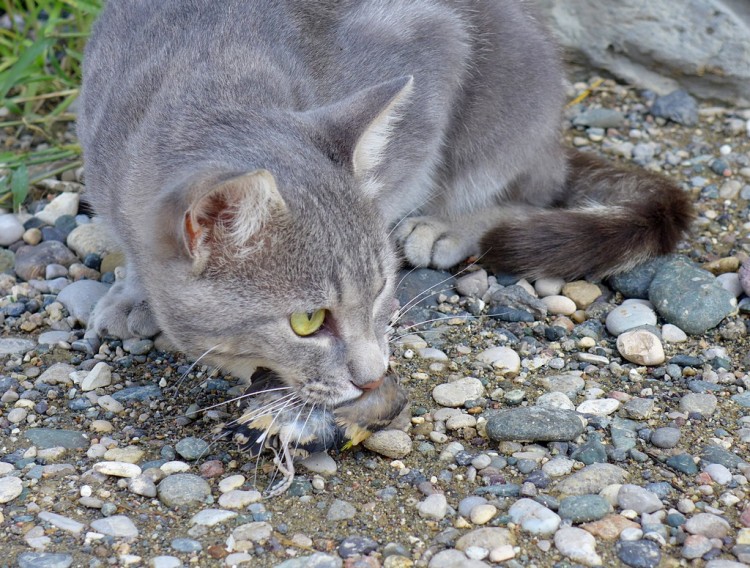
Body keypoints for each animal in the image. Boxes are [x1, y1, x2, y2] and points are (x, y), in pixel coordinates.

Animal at [78, 1, 692, 448]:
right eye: (307, 321)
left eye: (377, 291)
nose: (372, 376)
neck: (211, 70)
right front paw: (133, 293)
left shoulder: (434, 42)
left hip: (510, 108)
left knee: (521, 190)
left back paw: (448, 223)